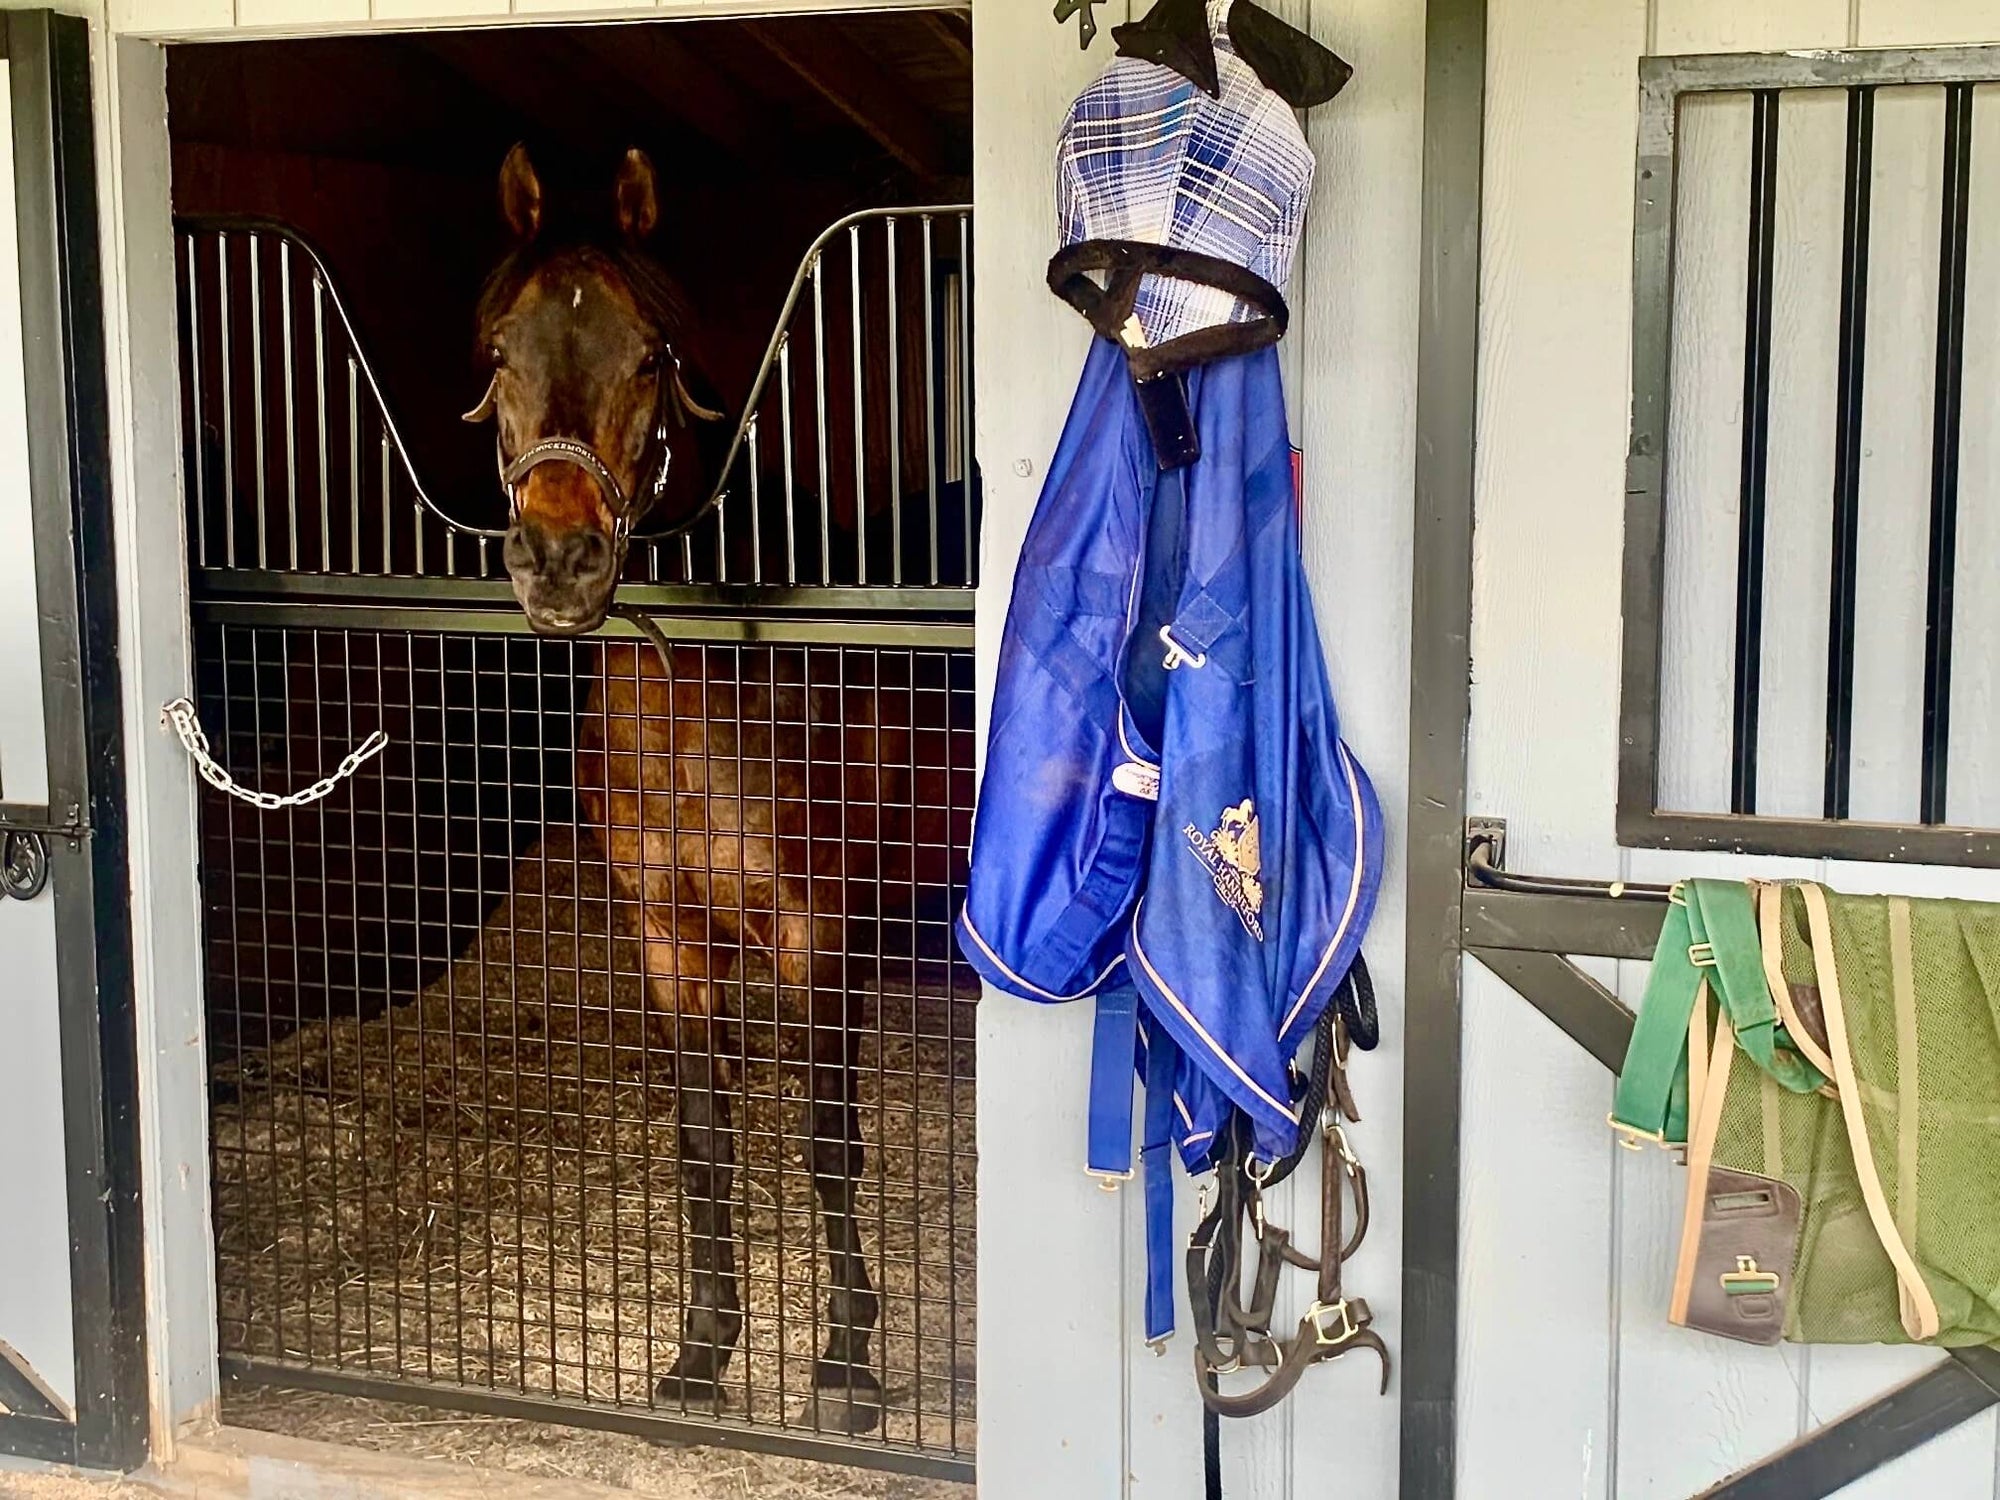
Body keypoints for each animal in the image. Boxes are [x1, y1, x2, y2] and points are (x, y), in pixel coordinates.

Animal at [468, 144, 884, 1432]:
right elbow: (705, 1138)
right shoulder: (667, 938)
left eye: (649, 356)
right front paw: (702, 1351)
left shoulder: (819, 934)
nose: (559, 561)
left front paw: (847, 1369)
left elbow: (827, 1139)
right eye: (497, 352)